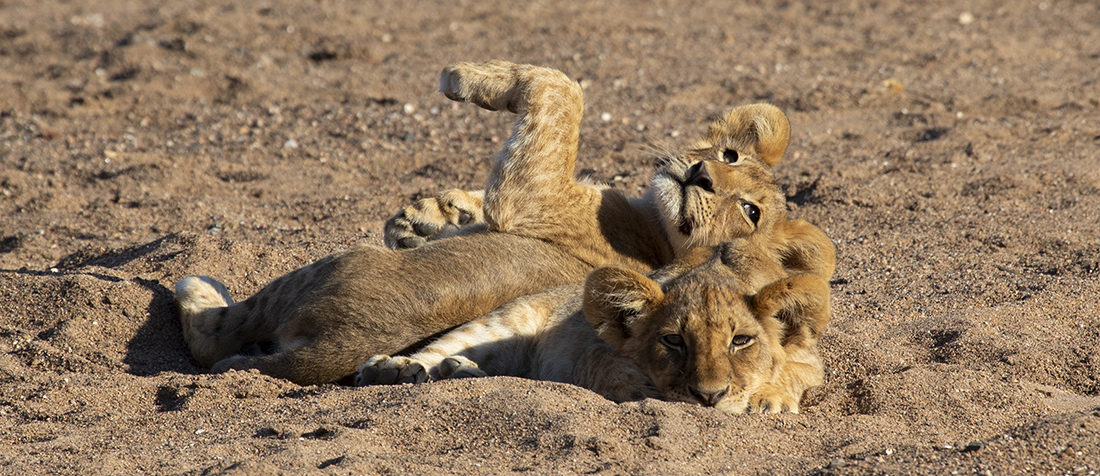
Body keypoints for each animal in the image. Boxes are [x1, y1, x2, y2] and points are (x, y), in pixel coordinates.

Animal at [174, 60, 795, 386]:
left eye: (750, 211)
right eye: (731, 156)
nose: (703, 175)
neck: (655, 228)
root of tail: (329, 350)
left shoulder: (533, 195)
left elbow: (563, 89)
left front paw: (462, 78)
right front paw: (423, 216)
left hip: (321, 268)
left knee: (212, 336)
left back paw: (195, 286)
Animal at [357, 220, 835, 414]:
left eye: (741, 341)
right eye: (673, 340)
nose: (708, 397)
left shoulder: (811, 358)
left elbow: (793, 370)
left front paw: (768, 397)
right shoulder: (594, 352)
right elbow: (622, 379)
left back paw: (458, 372)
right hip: (504, 321)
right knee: (440, 349)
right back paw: (396, 369)